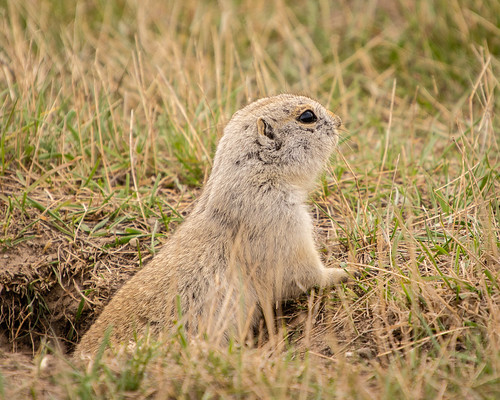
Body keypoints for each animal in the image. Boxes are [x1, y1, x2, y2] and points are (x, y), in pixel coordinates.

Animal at [76, 95, 352, 358]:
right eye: (307, 116)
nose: (340, 121)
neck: (258, 175)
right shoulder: (283, 223)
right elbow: (303, 274)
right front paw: (344, 272)